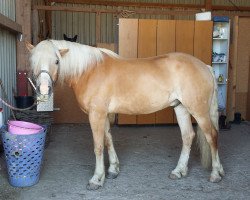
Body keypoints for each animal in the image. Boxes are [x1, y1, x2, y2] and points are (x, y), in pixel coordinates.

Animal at [25, 39, 225, 190]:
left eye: (56, 61)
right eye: (33, 61)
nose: (44, 90)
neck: (89, 71)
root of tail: (205, 66)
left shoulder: (96, 114)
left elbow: (98, 146)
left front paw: (97, 179)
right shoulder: (104, 114)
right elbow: (108, 140)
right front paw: (113, 170)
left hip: (198, 110)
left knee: (212, 136)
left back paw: (216, 173)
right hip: (181, 108)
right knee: (188, 136)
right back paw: (179, 171)